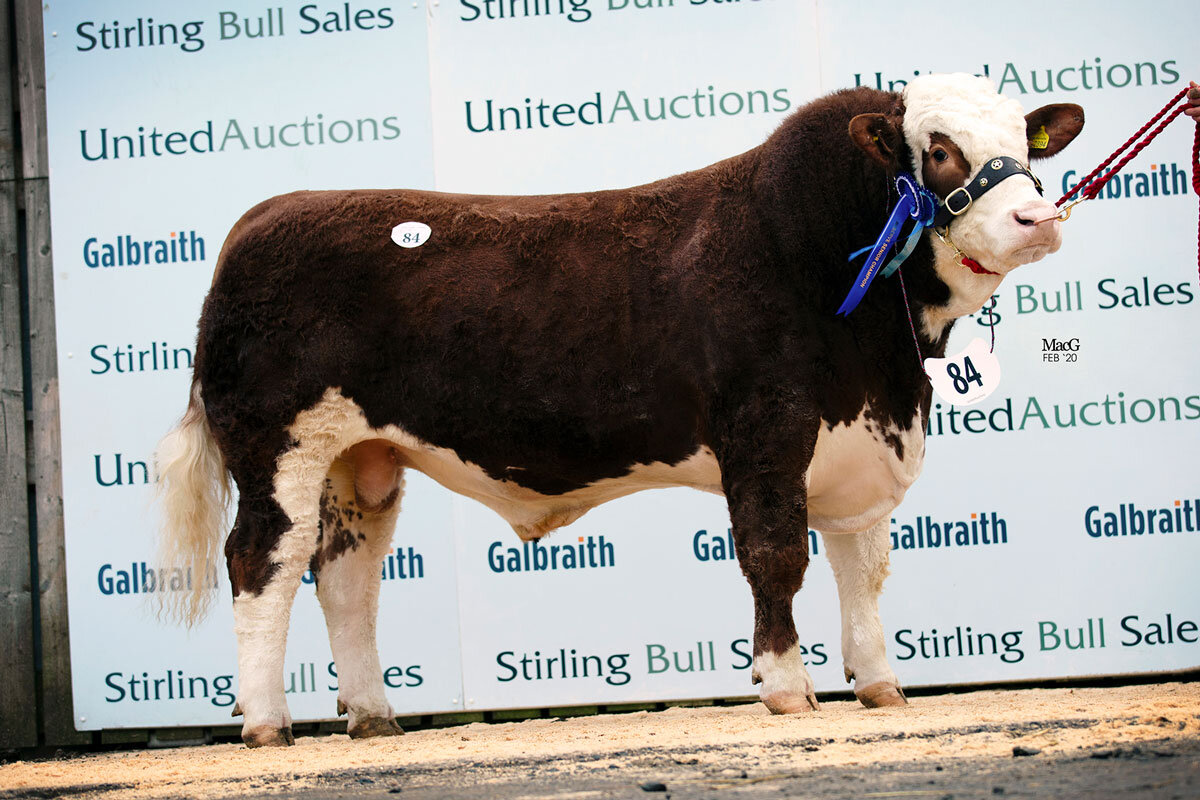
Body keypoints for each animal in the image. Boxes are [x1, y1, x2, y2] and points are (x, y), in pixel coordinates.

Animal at [154, 74, 1084, 753]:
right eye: (940, 149)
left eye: (1020, 143)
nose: (1038, 217)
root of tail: (264, 215)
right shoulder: (764, 429)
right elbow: (776, 556)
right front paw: (787, 688)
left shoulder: (863, 441)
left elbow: (865, 568)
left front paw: (881, 686)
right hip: (278, 446)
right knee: (262, 563)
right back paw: (266, 723)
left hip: (360, 459)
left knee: (346, 575)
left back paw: (374, 716)